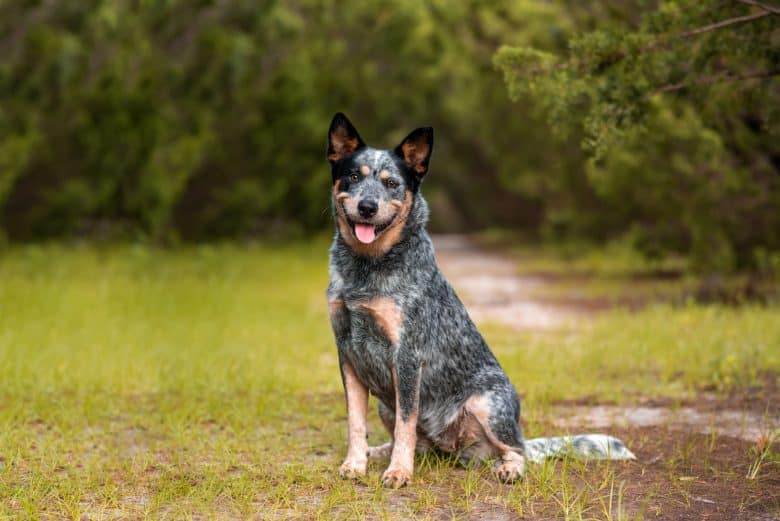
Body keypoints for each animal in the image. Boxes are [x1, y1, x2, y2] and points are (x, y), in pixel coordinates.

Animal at [322, 112, 632, 488]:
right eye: (354, 176)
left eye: (392, 183)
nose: (367, 207)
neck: (365, 268)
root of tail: (448, 448)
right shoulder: (347, 352)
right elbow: (356, 422)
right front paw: (355, 464)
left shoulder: (407, 356)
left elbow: (406, 422)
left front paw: (399, 472)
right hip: (387, 404)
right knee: (409, 440)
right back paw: (378, 452)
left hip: (487, 403)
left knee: (516, 449)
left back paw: (508, 468)